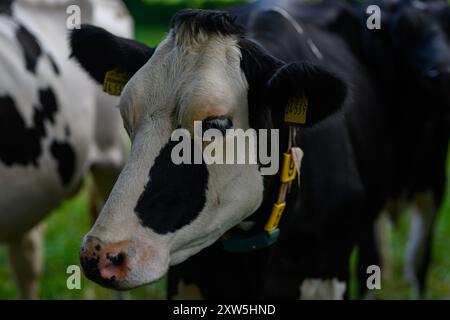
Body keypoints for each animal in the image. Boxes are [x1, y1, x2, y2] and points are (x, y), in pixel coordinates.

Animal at [326, 0, 450, 298]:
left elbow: (420, 262)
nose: (442, 75)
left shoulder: (435, 182)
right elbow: (368, 265)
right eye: (404, 34)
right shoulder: (370, 196)